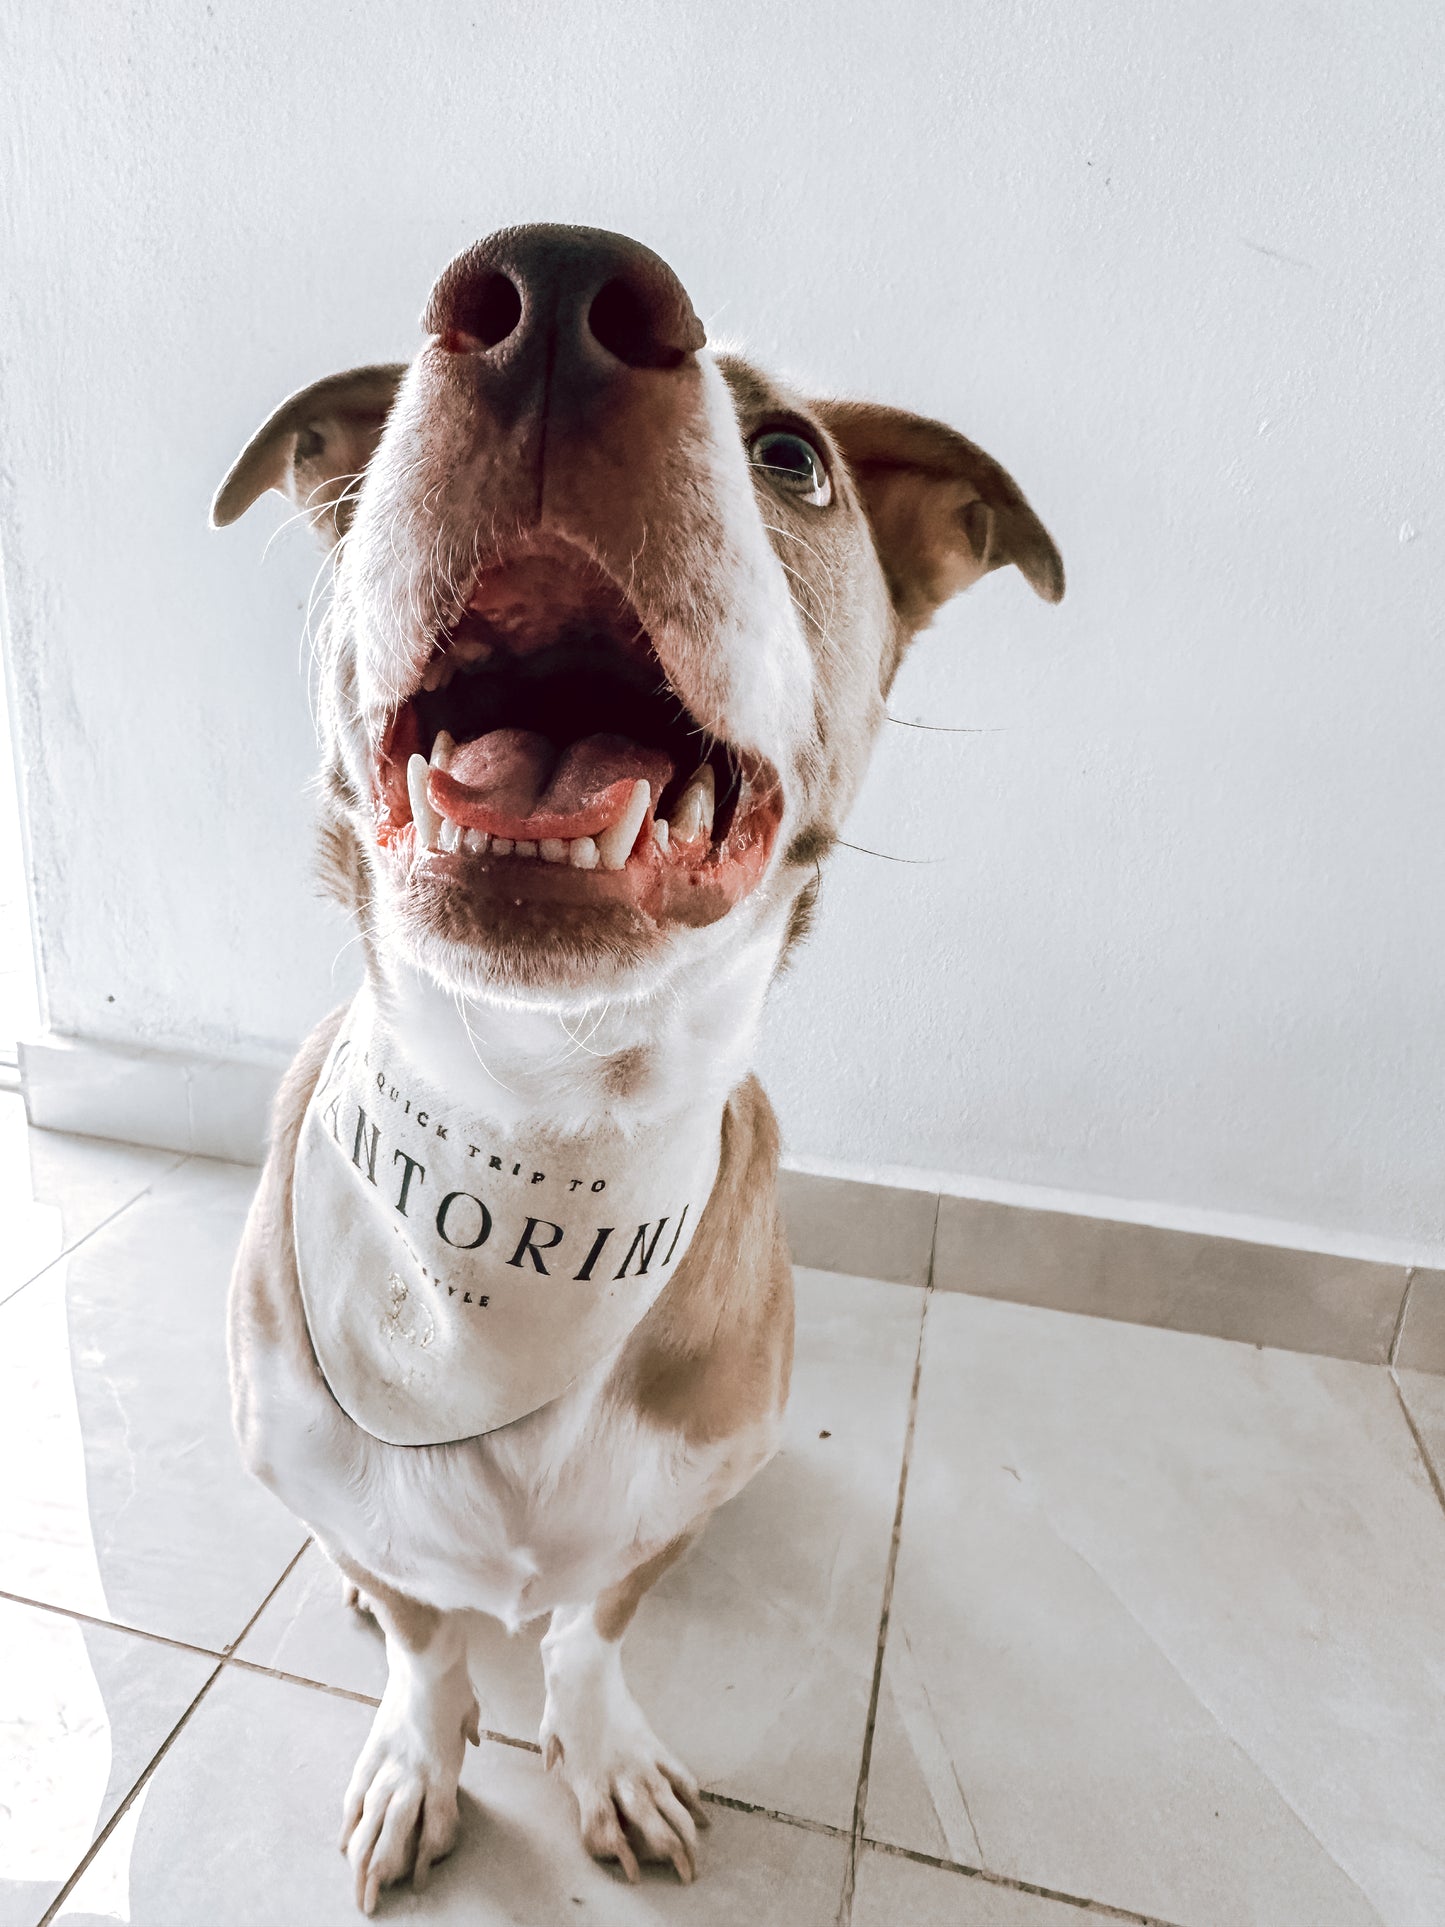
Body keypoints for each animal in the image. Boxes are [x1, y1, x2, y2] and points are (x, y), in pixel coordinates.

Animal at [214, 225, 1063, 1911]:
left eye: (792, 458)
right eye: (382, 430)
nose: (548, 292)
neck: (537, 1110)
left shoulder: (662, 1509)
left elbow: (594, 1629)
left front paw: (600, 1750)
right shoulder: (345, 1485)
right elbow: (427, 1643)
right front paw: (418, 1751)